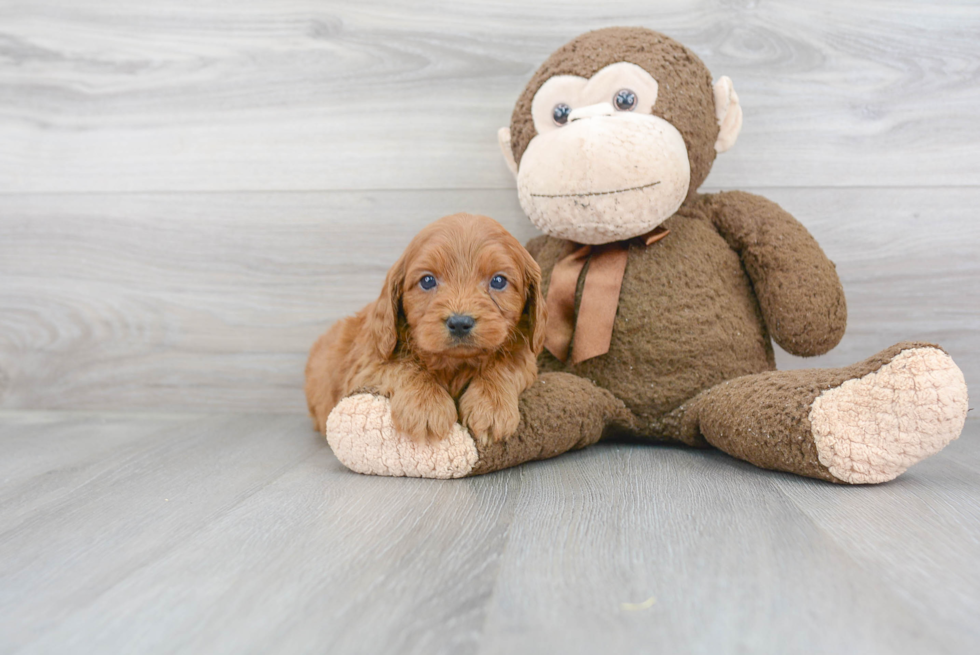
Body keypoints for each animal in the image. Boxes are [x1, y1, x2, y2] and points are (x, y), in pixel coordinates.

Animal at [304, 215, 544, 446]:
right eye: (427, 281)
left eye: (499, 281)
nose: (459, 322)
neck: (455, 364)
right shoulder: (368, 364)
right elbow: (403, 365)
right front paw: (427, 405)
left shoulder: (525, 354)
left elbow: (507, 364)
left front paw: (491, 406)